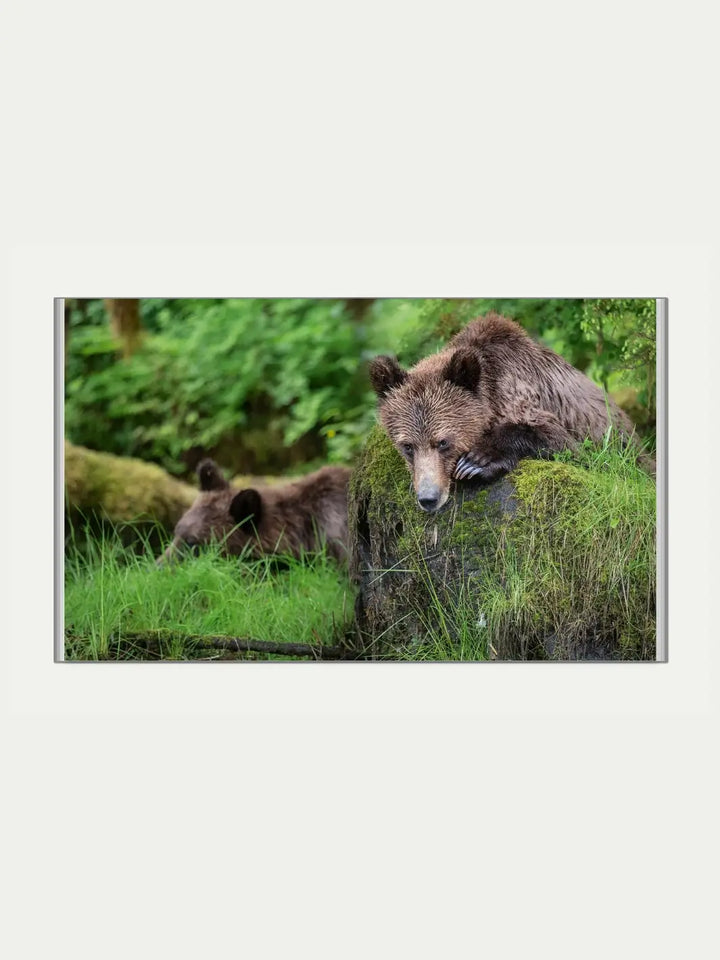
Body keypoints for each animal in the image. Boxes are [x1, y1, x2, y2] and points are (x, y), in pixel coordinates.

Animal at [369, 312, 637, 512]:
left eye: (443, 442)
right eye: (407, 446)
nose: (428, 498)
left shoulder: (526, 394)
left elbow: (560, 442)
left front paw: (476, 461)